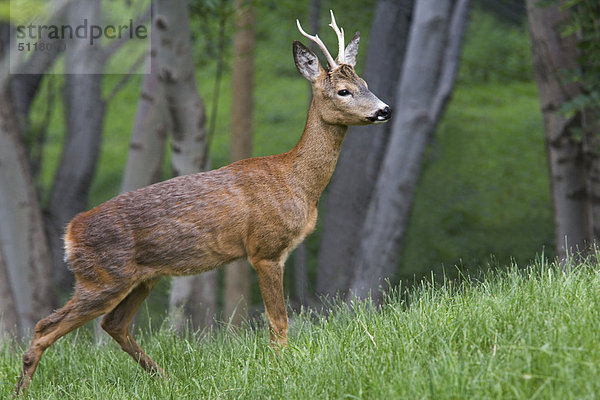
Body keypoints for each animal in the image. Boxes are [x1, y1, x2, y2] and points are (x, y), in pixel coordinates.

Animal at [14, 10, 392, 396]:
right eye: (343, 91)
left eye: (365, 82)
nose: (385, 110)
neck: (297, 182)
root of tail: (70, 232)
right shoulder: (265, 250)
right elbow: (278, 321)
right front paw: (282, 372)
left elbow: (277, 322)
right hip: (102, 278)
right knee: (45, 326)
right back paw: (22, 390)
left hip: (142, 277)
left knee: (113, 324)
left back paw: (165, 378)